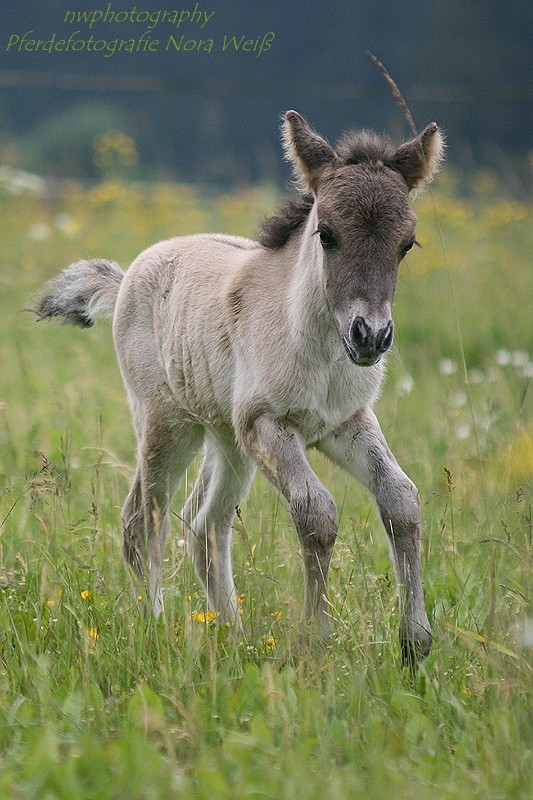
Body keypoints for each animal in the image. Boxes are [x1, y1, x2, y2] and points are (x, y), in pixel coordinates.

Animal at [36, 111, 440, 664]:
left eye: (407, 244)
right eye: (327, 234)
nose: (371, 336)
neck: (316, 346)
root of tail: (125, 280)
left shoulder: (345, 423)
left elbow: (401, 499)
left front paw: (414, 642)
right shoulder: (266, 424)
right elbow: (317, 513)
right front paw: (316, 638)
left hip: (226, 438)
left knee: (205, 523)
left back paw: (234, 632)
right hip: (168, 425)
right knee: (143, 518)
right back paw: (155, 624)